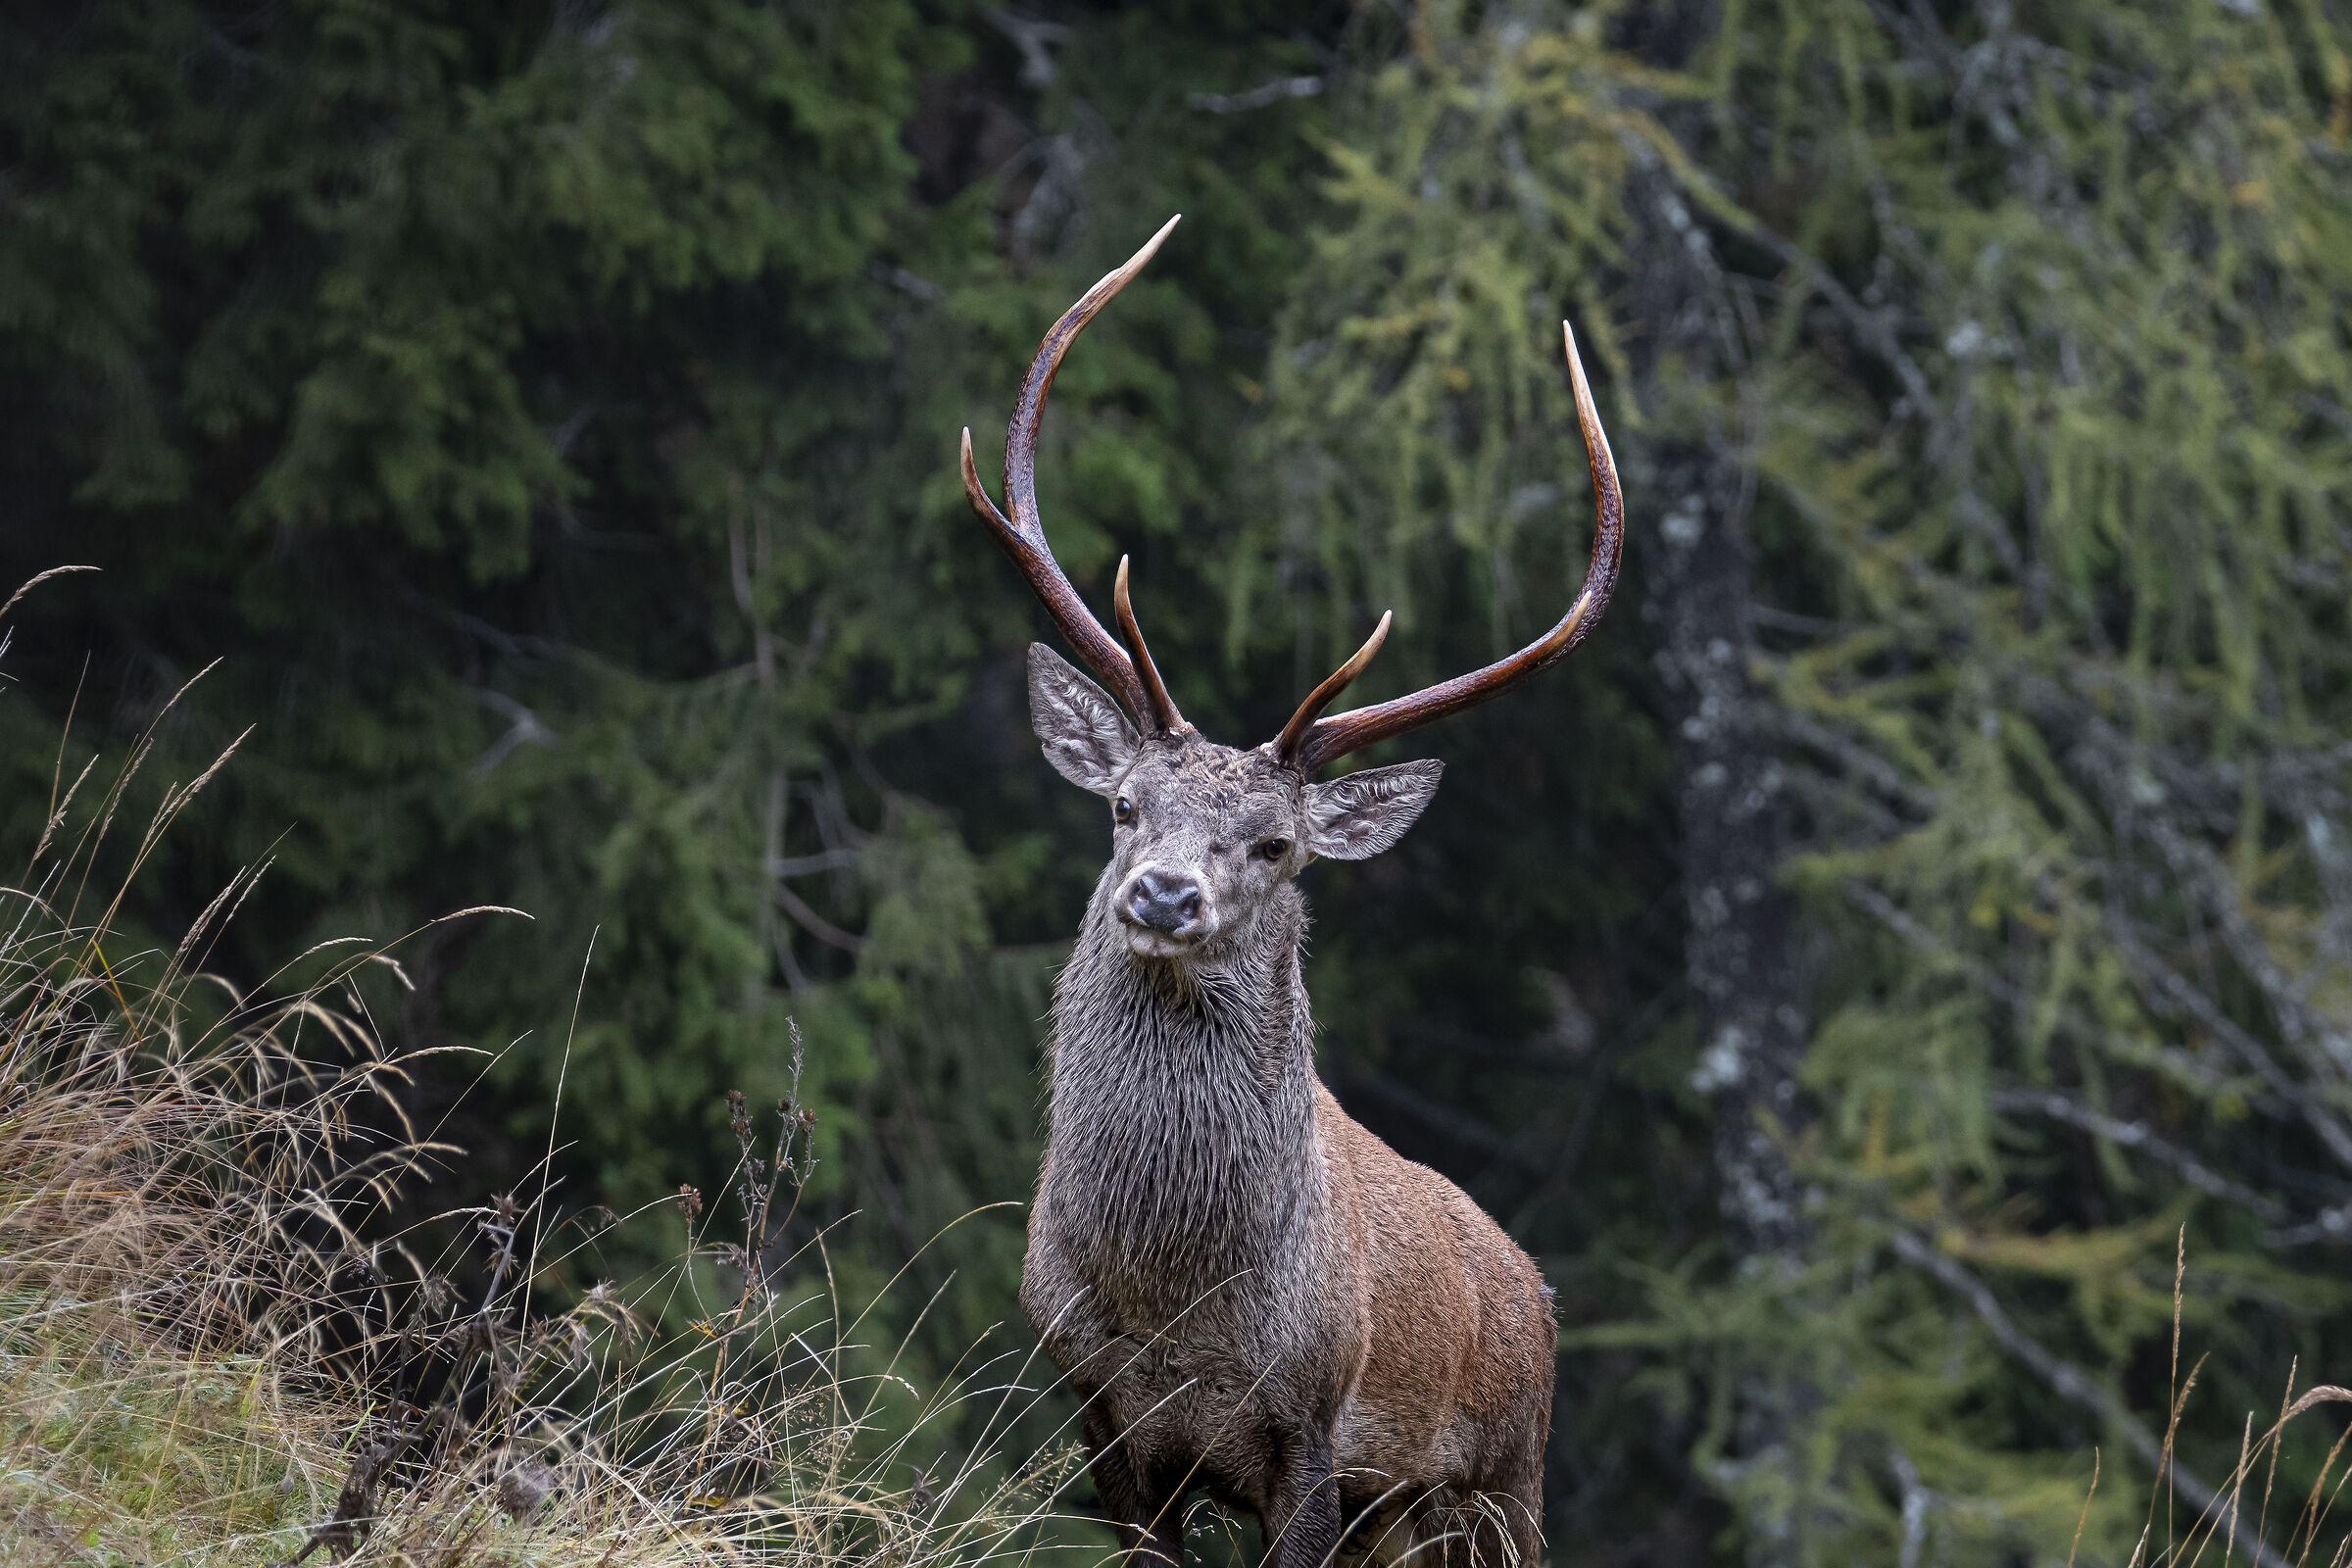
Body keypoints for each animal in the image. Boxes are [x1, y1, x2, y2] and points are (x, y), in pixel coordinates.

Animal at [959, 215, 1623, 1568]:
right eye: (1123, 805)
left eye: (1274, 845)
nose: (1163, 894)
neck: (1179, 1318)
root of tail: (1532, 1286)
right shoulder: (1100, 1412)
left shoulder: (1312, 1427)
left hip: (1505, 1486)